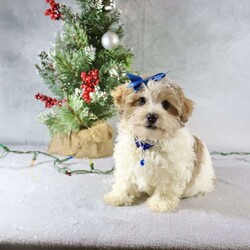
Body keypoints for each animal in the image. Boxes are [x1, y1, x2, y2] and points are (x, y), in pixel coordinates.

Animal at [103, 73, 215, 213]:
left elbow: (165, 186)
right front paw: (119, 196)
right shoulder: (127, 161)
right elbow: (125, 179)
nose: (152, 116)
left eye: (166, 105)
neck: (148, 143)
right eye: (141, 101)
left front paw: (161, 203)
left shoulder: (171, 169)